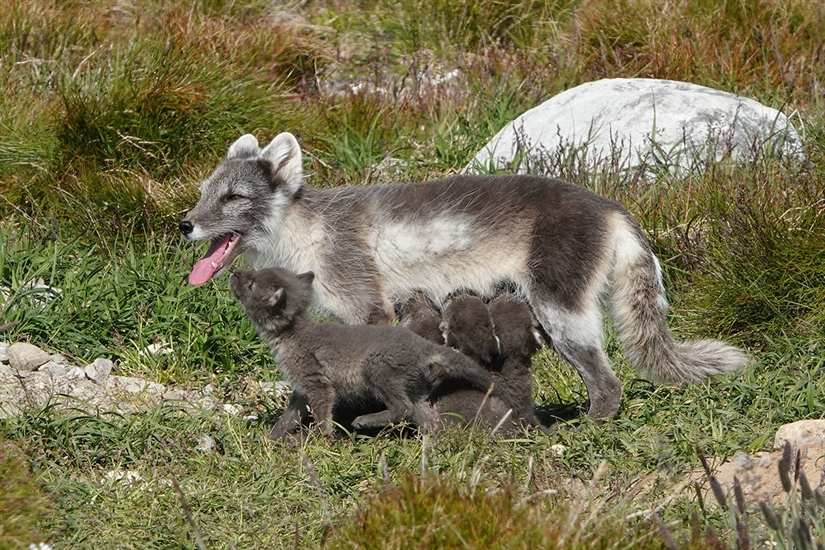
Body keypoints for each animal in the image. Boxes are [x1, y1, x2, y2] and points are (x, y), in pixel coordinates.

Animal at [180, 133, 748, 418]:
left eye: (234, 198)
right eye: (206, 192)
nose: (185, 223)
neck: (309, 230)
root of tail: (612, 208)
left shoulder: (367, 303)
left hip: (560, 308)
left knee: (607, 385)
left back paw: (585, 428)